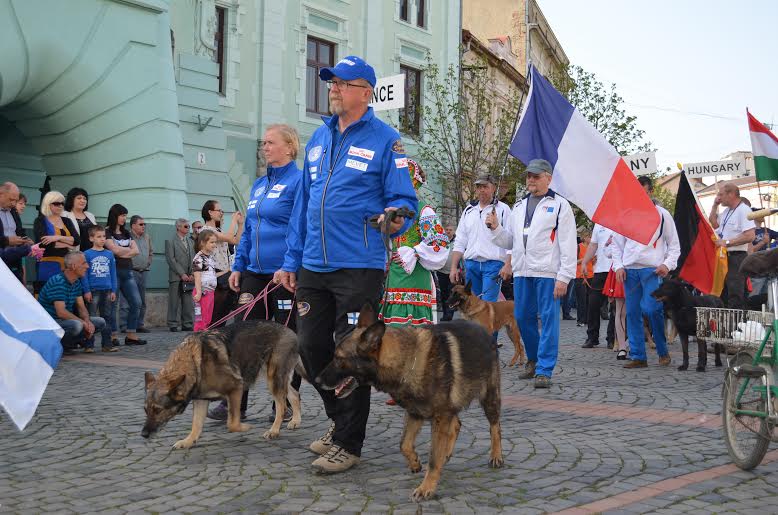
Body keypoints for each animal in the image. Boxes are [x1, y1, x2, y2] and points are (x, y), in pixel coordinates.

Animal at [142, 320, 304, 450]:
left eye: (158, 410)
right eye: (145, 410)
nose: (143, 434)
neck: (195, 364)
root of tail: (291, 332)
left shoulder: (236, 388)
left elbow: (231, 423)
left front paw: (245, 427)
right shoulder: (201, 400)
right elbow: (196, 425)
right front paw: (188, 441)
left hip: (273, 379)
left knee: (282, 406)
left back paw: (274, 430)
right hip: (275, 379)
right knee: (294, 395)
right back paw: (295, 421)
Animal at [314, 304, 500, 502]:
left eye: (339, 358)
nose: (316, 380)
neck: (408, 360)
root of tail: (483, 330)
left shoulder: (440, 417)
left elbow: (433, 459)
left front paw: (427, 488)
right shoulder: (416, 413)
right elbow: (404, 444)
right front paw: (415, 462)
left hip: (489, 399)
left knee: (495, 427)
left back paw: (496, 455)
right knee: (457, 424)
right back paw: (448, 452)